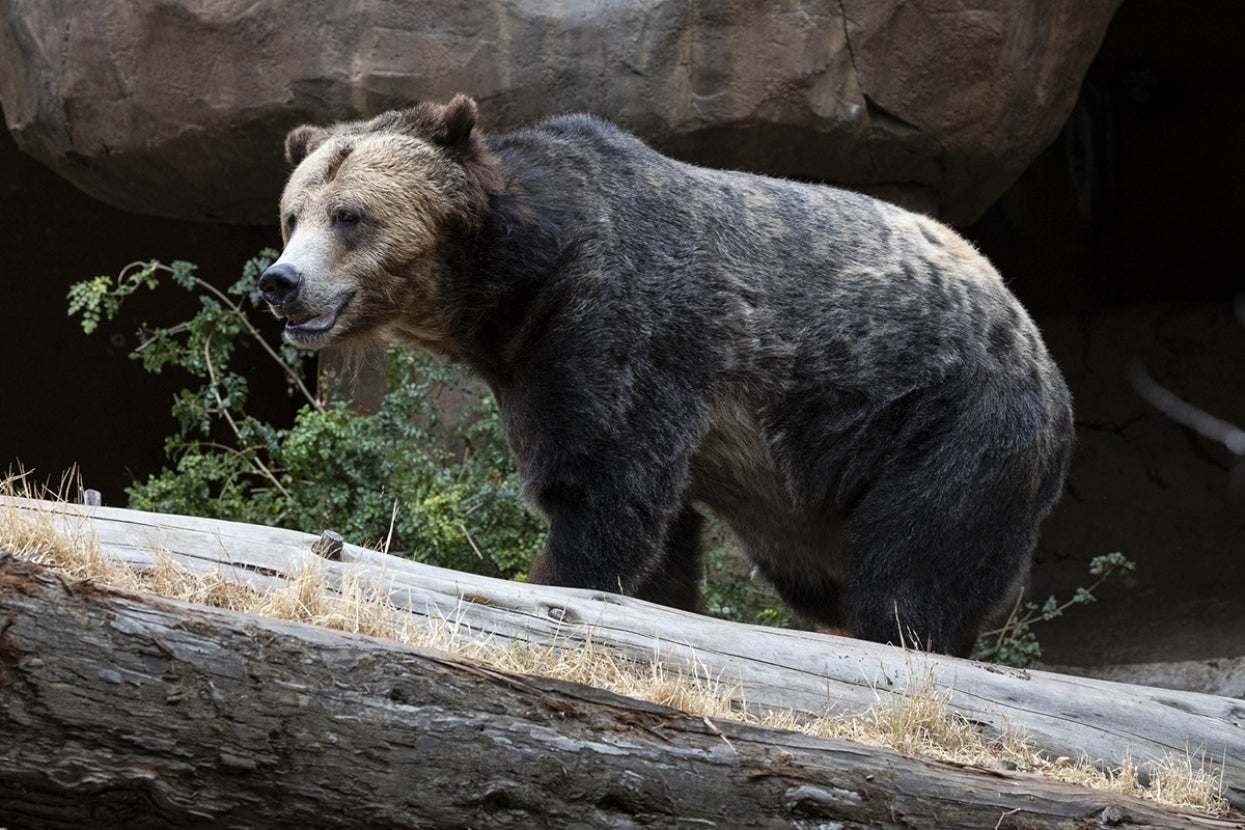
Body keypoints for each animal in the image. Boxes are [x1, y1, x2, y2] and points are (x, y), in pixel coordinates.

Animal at [260, 94, 1074, 657]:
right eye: (293, 214)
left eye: (351, 216)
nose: (281, 283)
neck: (516, 285)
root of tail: (1043, 354)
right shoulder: (534, 357)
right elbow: (659, 531)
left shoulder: (621, 322)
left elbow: (601, 484)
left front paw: (556, 584)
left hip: (948, 420)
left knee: (917, 560)